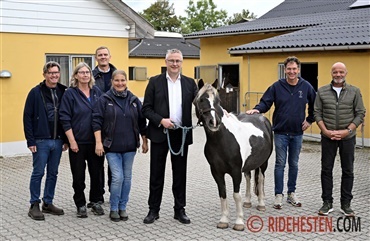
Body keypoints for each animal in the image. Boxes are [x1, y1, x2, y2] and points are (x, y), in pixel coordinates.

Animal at [192, 83, 274, 232]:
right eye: (200, 100)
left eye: (218, 101)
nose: (214, 122)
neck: (222, 140)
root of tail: (263, 119)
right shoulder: (216, 172)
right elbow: (223, 194)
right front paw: (224, 220)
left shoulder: (236, 172)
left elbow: (236, 195)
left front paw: (239, 222)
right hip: (248, 165)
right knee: (248, 177)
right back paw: (247, 202)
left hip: (263, 163)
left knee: (260, 179)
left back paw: (261, 204)